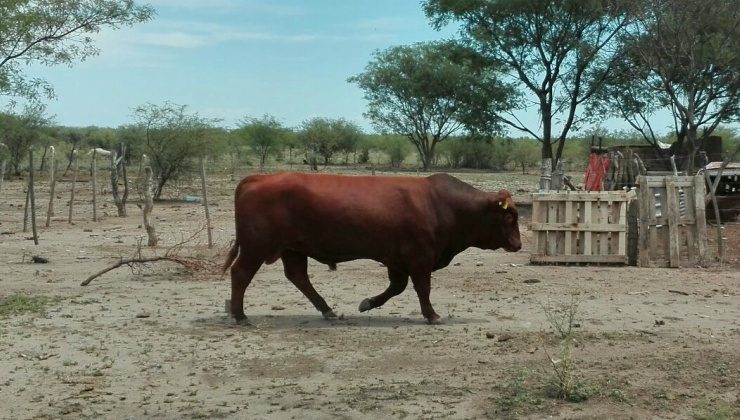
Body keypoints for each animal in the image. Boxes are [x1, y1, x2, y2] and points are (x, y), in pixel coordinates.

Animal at [223, 172, 516, 324]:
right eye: (510, 217)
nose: (518, 243)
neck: (441, 203)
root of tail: (258, 178)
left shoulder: (397, 260)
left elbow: (396, 287)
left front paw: (368, 303)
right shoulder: (420, 258)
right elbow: (422, 288)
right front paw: (432, 315)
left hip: (293, 249)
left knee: (298, 277)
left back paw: (327, 310)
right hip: (256, 246)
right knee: (241, 274)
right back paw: (240, 315)